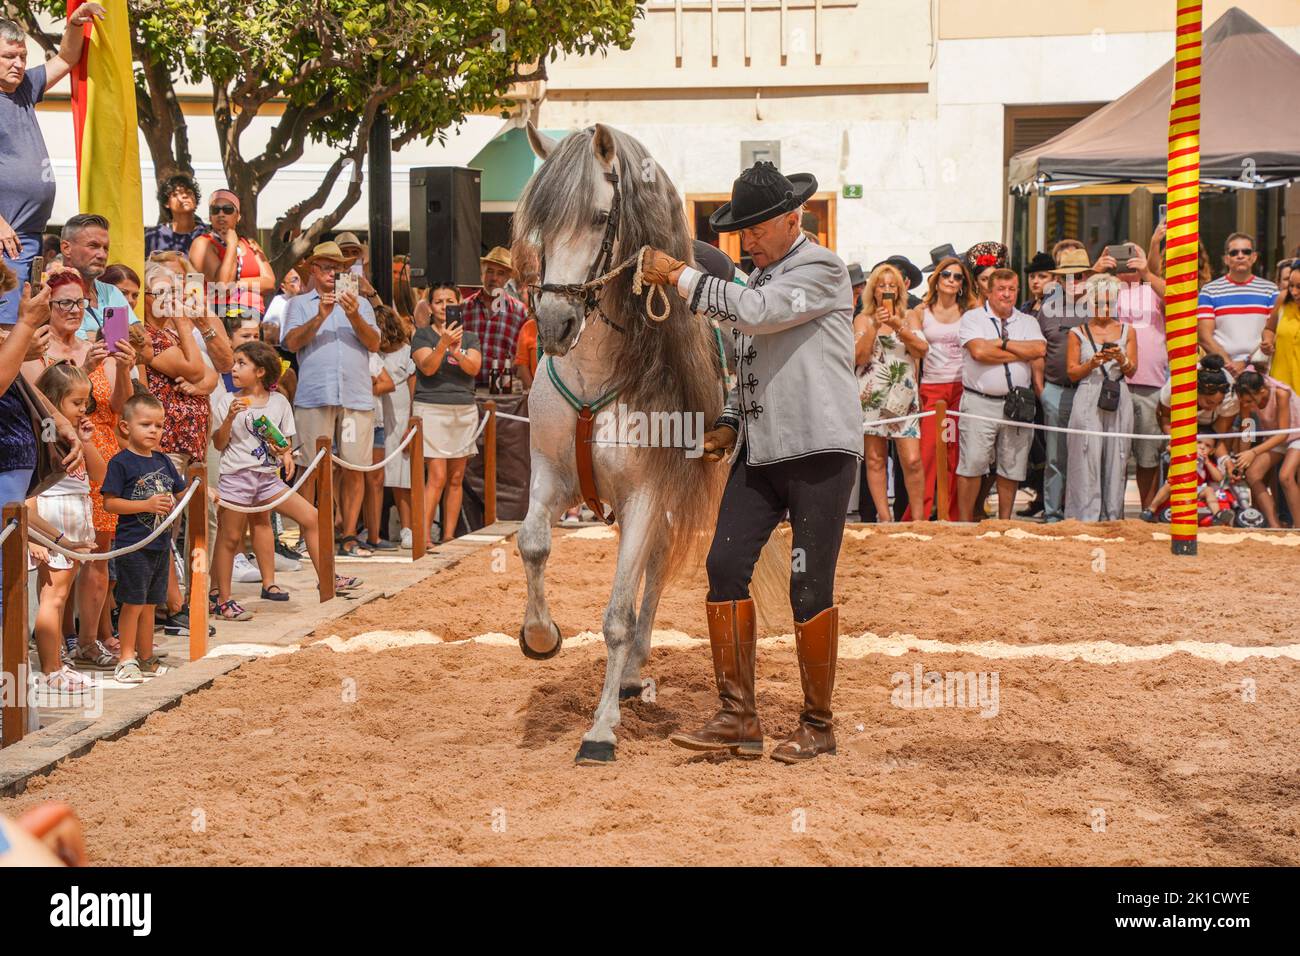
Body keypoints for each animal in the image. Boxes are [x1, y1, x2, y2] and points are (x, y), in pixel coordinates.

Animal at [509, 123, 733, 764]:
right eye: (539, 223)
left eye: (600, 216)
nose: (553, 323)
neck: (595, 376)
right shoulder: (553, 477)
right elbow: (532, 542)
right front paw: (541, 636)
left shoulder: (645, 495)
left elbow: (616, 616)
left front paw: (601, 730)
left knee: (651, 579)